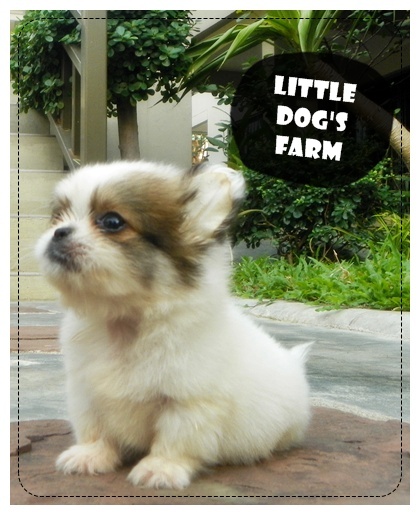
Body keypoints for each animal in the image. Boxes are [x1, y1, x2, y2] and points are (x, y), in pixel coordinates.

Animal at [36, 160, 311, 489]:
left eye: (112, 222)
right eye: (57, 218)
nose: (58, 232)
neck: (125, 323)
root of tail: (292, 363)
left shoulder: (188, 402)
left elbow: (175, 439)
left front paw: (161, 468)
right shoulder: (86, 392)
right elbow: (96, 429)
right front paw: (90, 455)